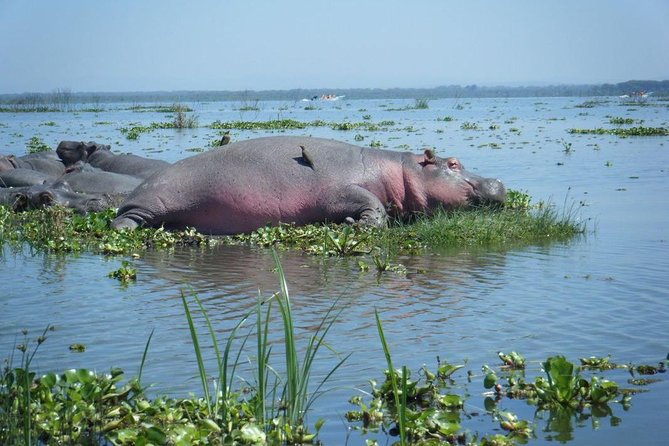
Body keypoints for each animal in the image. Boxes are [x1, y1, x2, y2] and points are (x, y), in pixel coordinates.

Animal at [112, 135, 504, 233]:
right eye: (453, 163)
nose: (498, 181)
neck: (400, 169)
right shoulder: (341, 190)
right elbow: (372, 206)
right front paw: (356, 224)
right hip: (153, 202)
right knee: (126, 220)